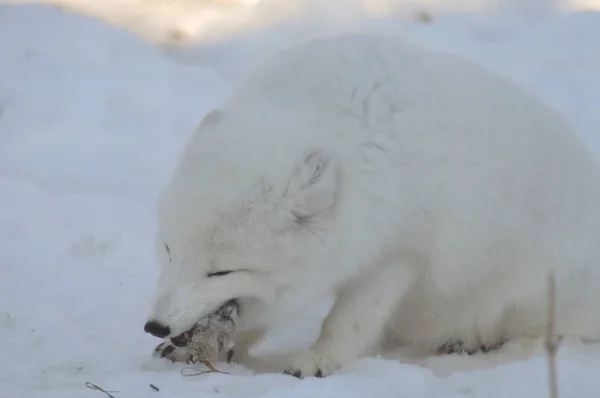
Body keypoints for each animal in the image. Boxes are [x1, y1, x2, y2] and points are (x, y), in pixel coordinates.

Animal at [144, 33, 600, 376]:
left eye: (221, 271)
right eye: (169, 250)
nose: (154, 326)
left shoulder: (395, 255)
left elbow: (347, 321)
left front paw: (317, 361)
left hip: (537, 296)